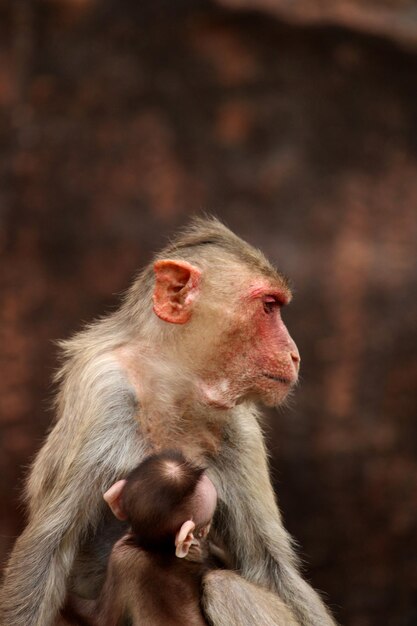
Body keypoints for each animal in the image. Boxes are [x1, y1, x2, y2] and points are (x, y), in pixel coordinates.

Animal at [61, 448, 221, 624]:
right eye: (206, 525)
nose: (208, 530)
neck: (158, 548)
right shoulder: (123, 556)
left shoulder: (122, 556)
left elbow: (99, 619)